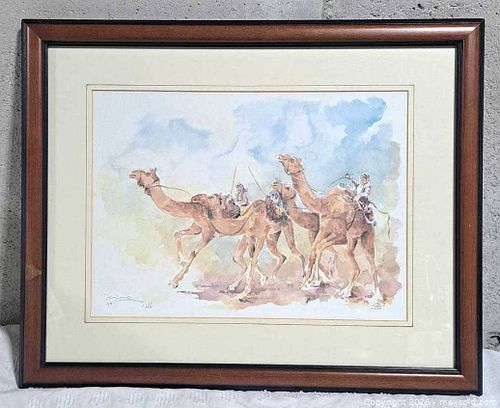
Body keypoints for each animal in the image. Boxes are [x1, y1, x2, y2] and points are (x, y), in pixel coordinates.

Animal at [277, 154, 379, 296]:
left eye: (292, 159)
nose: (281, 156)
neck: (323, 205)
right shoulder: (323, 230)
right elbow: (315, 250)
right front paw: (311, 281)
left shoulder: (340, 235)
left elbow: (318, 249)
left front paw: (313, 281)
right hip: (354, 238)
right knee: (366, 264)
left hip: (366, 233)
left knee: (364, 265)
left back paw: (352, 293)